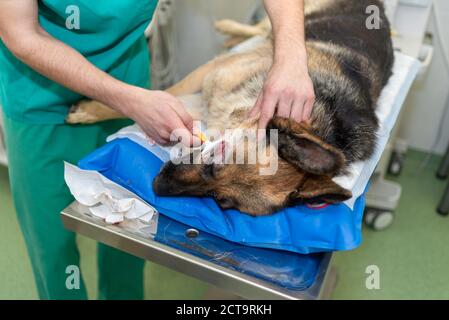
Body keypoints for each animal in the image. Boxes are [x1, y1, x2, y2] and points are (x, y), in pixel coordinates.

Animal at [66, 0, 392, 216]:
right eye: (212, 166)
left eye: (220, 200)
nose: (158, 186)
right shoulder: (209, 76)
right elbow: (160, 94)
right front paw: (91, 111)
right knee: (262, 25)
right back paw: (231, 29)